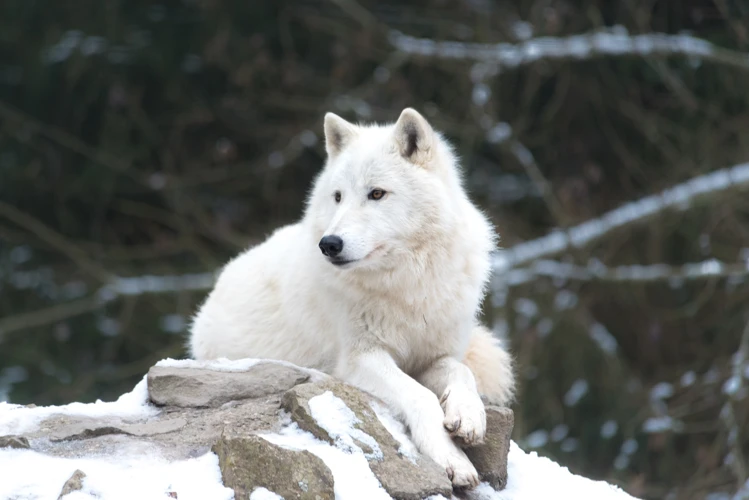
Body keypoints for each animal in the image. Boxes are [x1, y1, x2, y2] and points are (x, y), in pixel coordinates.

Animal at [187, 106, 516, 488]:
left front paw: (469, 416)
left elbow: (462, 372)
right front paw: (451, 458)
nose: (329, 244)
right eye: (338, 197)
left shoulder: (433, 356)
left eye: (377, 194)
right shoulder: (359, 358)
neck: (406, 285)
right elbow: (419, 396)